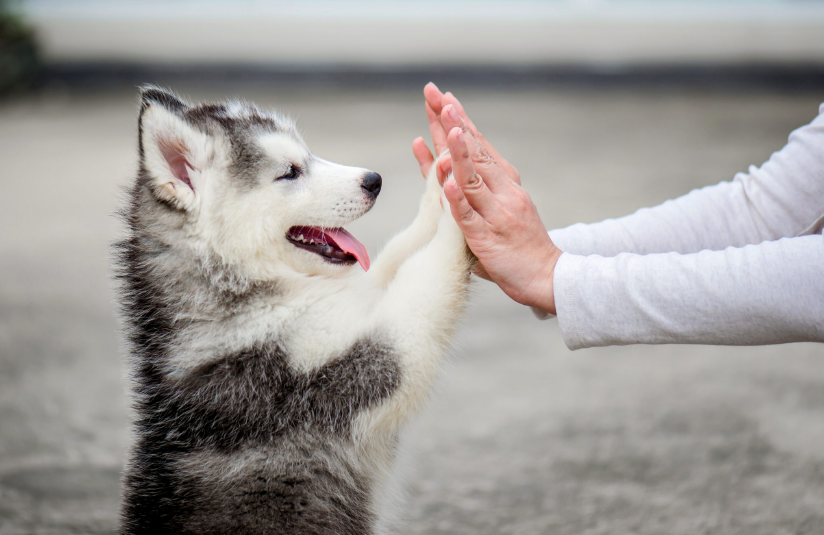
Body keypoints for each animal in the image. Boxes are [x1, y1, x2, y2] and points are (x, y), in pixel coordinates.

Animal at [116, 86, 476, 532]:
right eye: (290, 172)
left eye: (308, 155)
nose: (373, 180)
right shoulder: (345, 369)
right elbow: (424, 276)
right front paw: (461, 203)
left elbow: (396, 255)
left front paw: (441, 178)